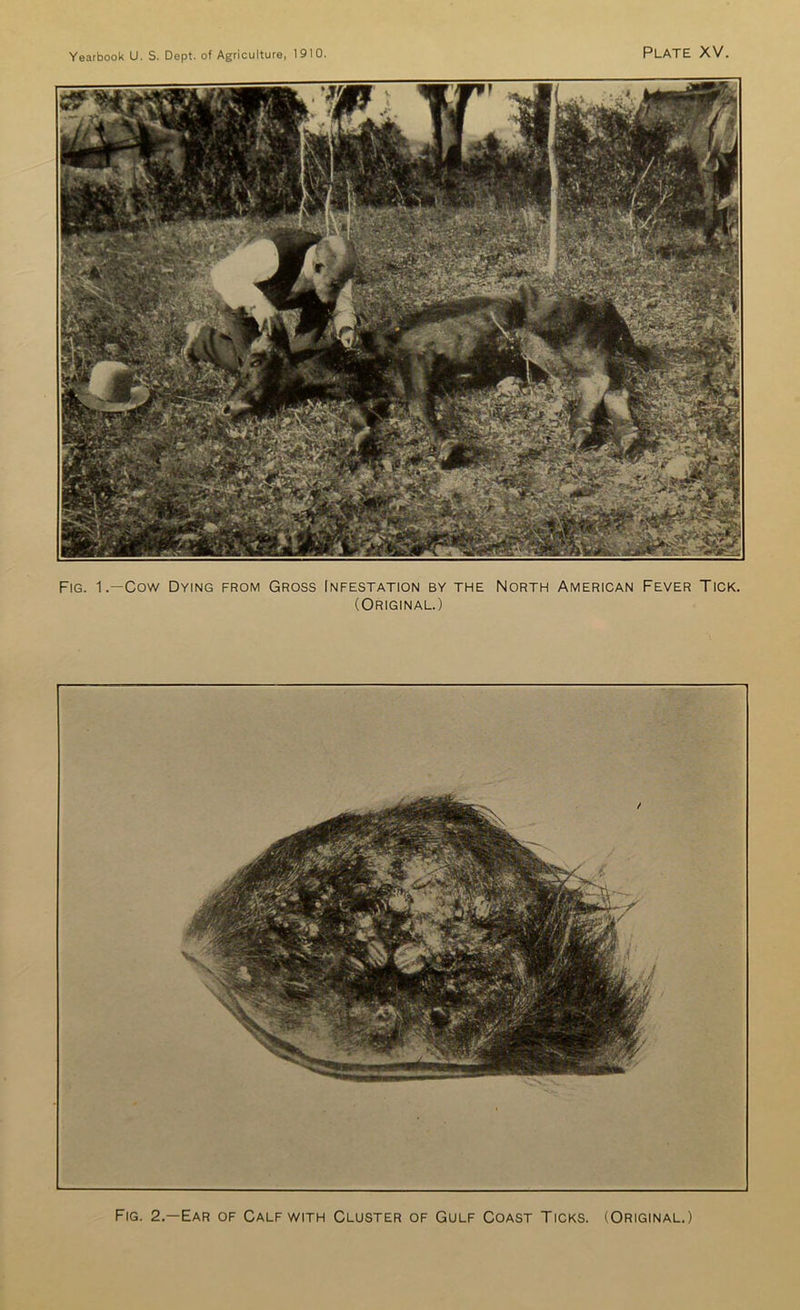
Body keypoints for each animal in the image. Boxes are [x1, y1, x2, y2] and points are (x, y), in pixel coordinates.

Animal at [635, 84, 738, 241]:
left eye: (641, 107)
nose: (634, 125)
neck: (698, 114)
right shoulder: (723, 167)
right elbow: (723, 195)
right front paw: (725, 232)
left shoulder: (705, 165)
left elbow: (709, 196)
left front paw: (708, 234)